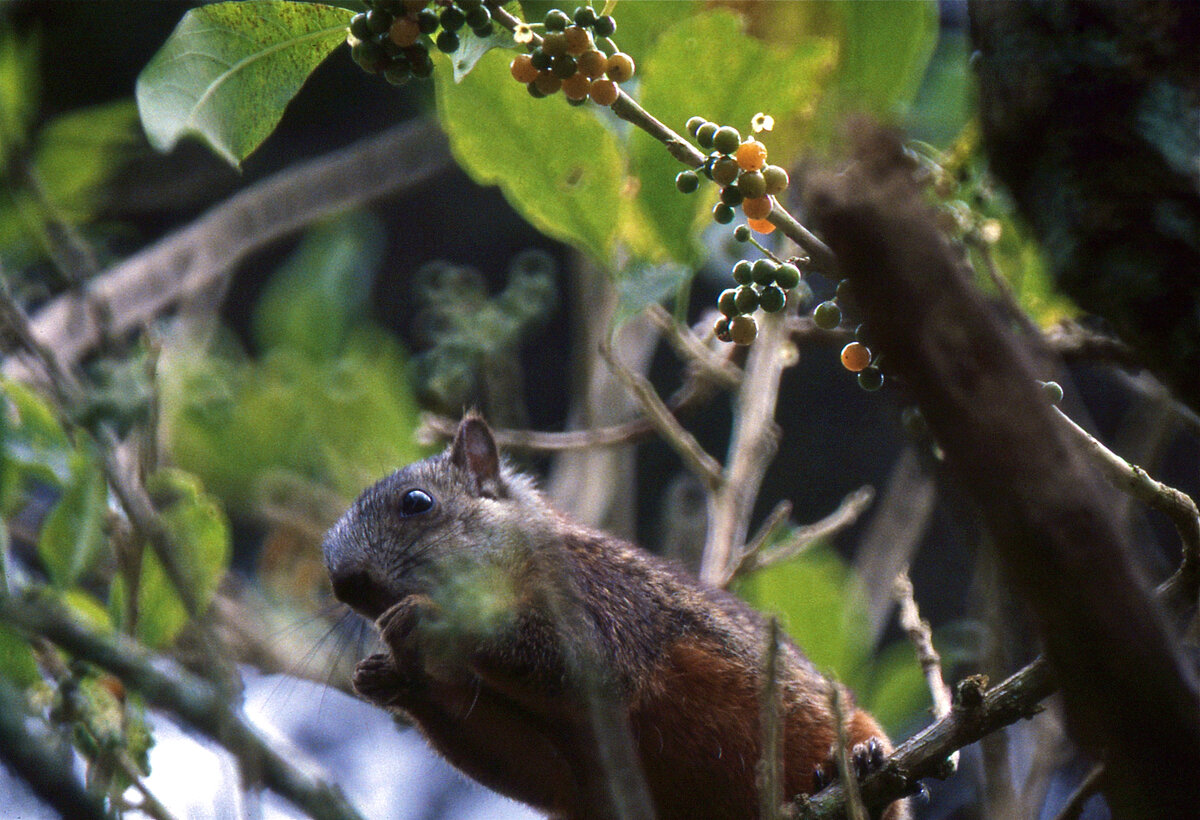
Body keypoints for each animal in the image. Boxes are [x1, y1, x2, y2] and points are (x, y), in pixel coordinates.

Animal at [323, 416, 909, 820]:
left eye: (416, 503)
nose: (343, 583)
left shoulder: (605, 600)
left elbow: (588, 665)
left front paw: (429, 620)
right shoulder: (569, 766)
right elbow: (534, 766)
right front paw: (392, 678)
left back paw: (860, 769)